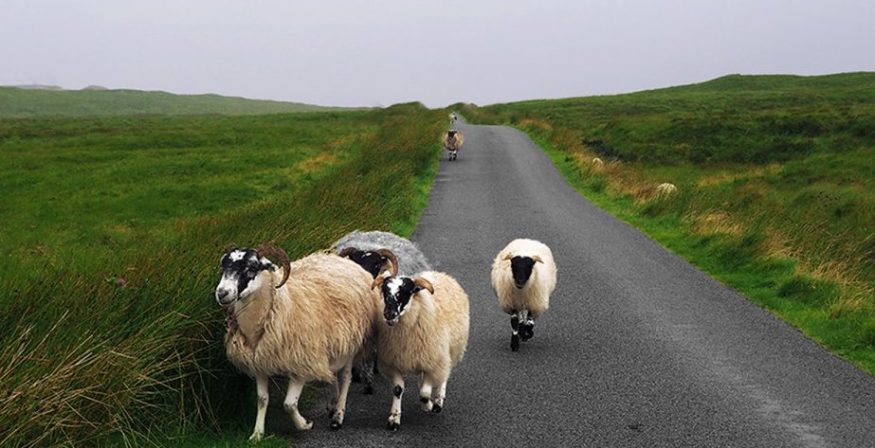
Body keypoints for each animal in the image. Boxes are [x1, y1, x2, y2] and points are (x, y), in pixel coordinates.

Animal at [215, 244, 380, 440]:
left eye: (252, 267)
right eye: (224, 266)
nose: (222, 293)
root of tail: (343, 260)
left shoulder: (301, 365)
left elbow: (289, 404)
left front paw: (305, 424)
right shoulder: (259, 363)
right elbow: (262, 400)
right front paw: (257, 434)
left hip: (350, 346)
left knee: (345, 378)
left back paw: (338, 415)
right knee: (332, 377)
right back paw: (333, 406)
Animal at [371, 270, 470, 430]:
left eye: (406, 292)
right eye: (385, 291)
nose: (389, 314)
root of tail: (439, 273)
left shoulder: (433, 362)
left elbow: (424, 393)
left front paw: (428, 406)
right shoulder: (394, 362)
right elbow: (398, 389)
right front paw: (394, 418)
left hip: (448, 352)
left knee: (444, 375)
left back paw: (438, 400)